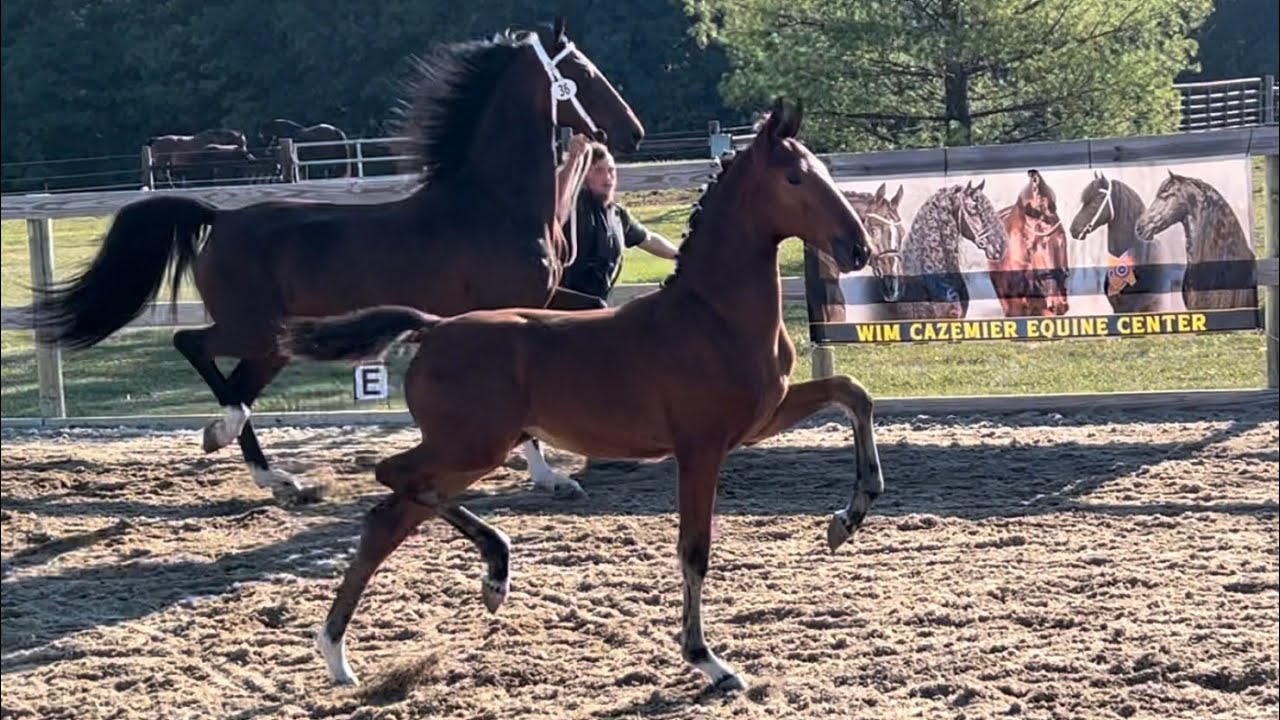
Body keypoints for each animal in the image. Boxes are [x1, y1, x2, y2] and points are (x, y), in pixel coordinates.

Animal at [20, 18, 644, 504]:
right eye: (584, 73)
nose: (633, 134)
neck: (492, 205)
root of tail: (219, 218)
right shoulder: (504, 309)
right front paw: (549, 475)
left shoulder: (545, 298)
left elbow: (593, 305)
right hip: (250, 327)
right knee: (192, 345)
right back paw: (225, 434)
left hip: (272, 342)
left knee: (237, 381)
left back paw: (277, 479)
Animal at [278, 99, 880, 694]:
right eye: (795, 177)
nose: (858, 248)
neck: (714, 315)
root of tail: (434, 328)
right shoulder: (700, 448)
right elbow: (694, 550)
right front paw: (708, 660)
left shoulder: (760, 419)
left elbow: (852, 394)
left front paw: (846, 520)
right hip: (470, 447)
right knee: (393, 477)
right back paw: (494, 565)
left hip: (464, 456)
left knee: (388, 520)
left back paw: (339, 656)